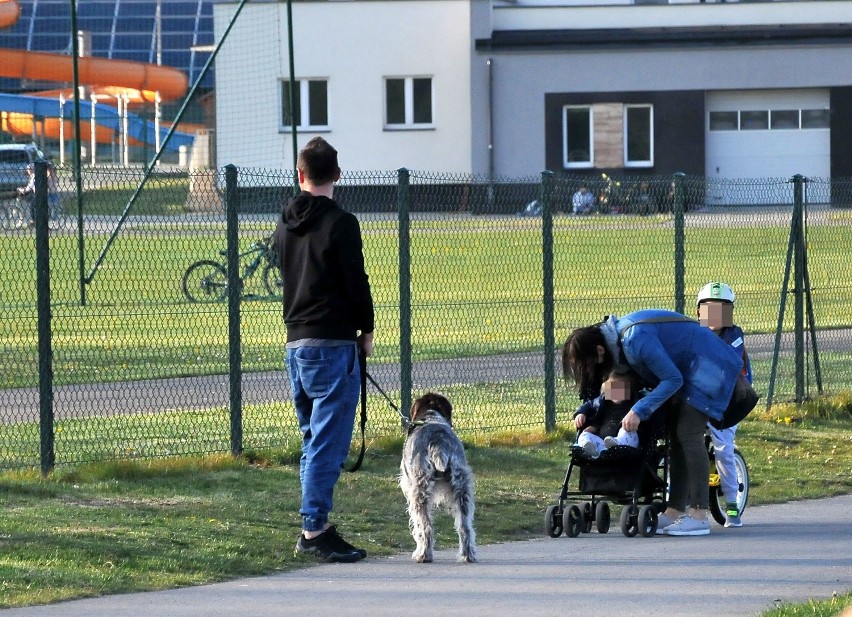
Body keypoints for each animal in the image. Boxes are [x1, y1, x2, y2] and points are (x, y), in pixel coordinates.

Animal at [402, 392, 480, 560]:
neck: (431, 416)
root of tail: (438, 443)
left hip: (419, 492)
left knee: (426, 526)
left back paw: (423, 555)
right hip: (462, 489)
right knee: (465, 527)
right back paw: (467, 555)